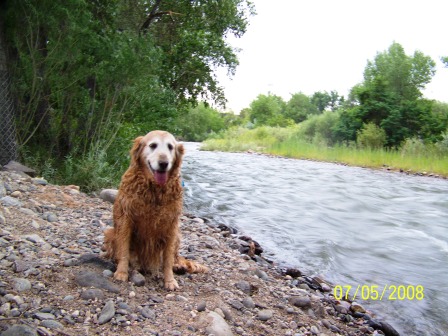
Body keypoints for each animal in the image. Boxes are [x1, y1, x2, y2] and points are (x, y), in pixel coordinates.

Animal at [104, 130, 208, 290]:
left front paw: (170, 280)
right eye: (153, 145)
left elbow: (168, 259)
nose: (164, 163)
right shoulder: (126, 219)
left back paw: (178, 266)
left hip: (178, 236)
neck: (154, 190)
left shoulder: (171, 225)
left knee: (174, 258)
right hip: (110, 232)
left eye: (170, 147)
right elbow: (124, 251)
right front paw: (121, 272)